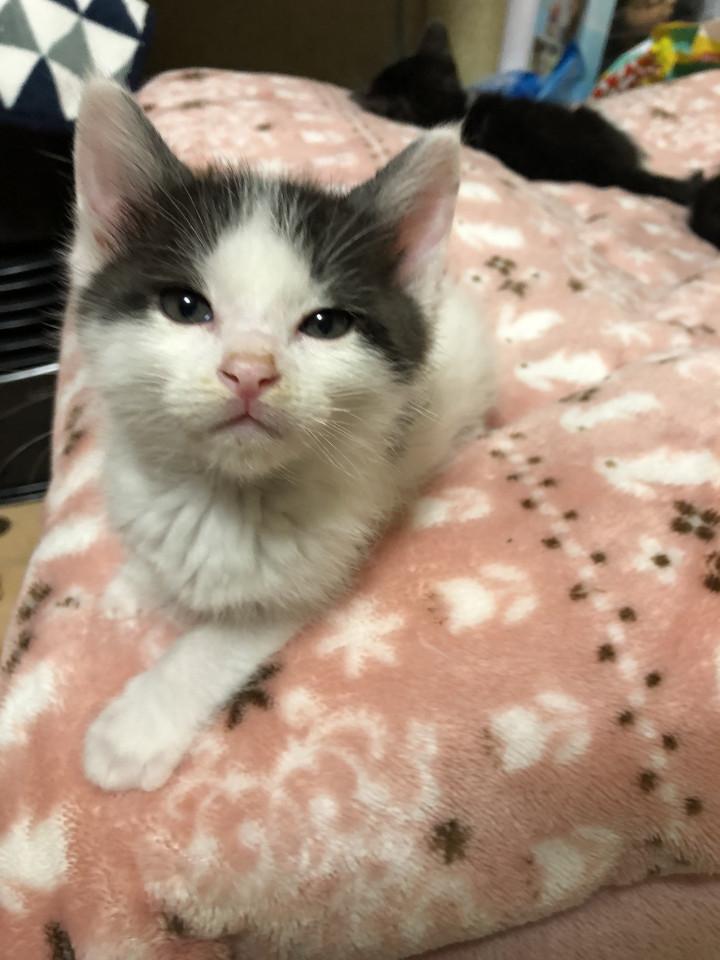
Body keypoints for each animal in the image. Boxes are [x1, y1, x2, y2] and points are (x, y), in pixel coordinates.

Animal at [71, 80, 493, 792]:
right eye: (185, 307)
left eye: (325, 324)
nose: (249, 371)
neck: (224, 493)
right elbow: (153, 554)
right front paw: (137, 582)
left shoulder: (319, 565)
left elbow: (214, 643)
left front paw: (133, 731)